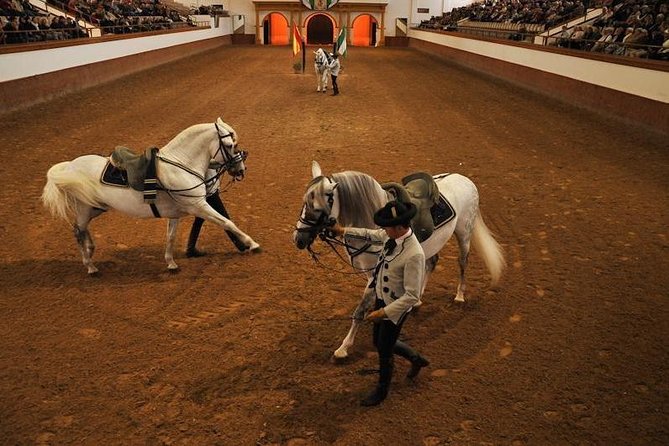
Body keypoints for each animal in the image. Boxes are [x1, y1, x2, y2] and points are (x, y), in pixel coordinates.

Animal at [42, 116, 260, 274]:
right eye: (230, 145)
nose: (241, 170)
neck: (180, 164)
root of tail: (69, 166)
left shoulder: (175, 213)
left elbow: (170, 237)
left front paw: (171, 263)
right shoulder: (198, 205)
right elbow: (227, 222)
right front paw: (252, 244)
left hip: (96, 207)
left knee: (80, 229)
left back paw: (91, 251)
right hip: (85, 208)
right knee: (78, 231)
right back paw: (90, 266)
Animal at [290, 160, 504, 358]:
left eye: (317, 208)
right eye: (303, 202)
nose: (298, 238)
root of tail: (464, 178)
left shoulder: (373, 275)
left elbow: (360, 311)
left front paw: (343, 348)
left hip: (464, 233)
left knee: (462, 261)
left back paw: (459, 295)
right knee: (432, 262)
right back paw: (416, 301)